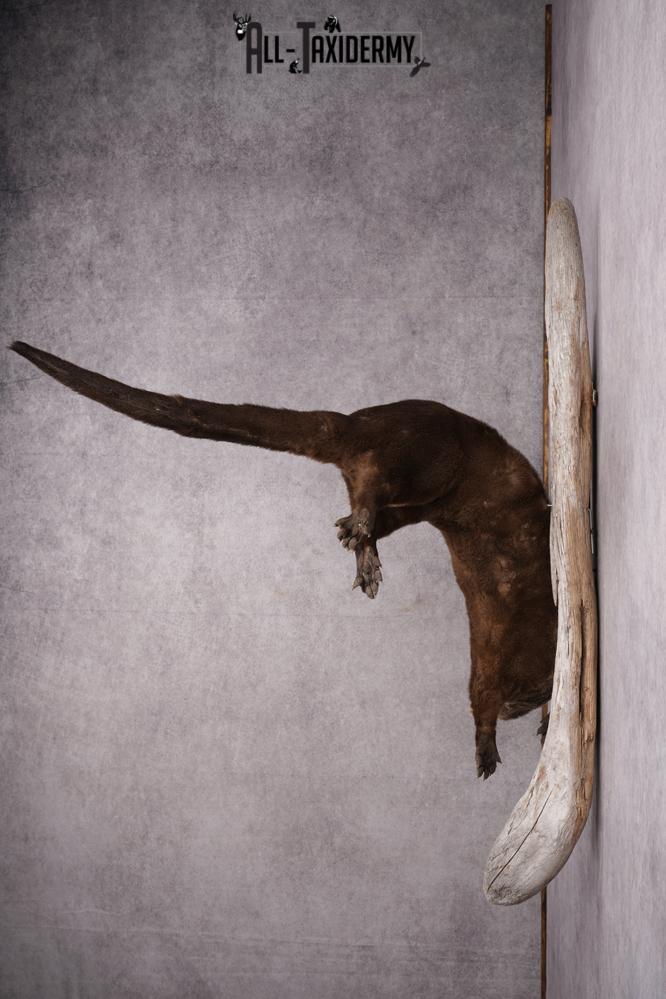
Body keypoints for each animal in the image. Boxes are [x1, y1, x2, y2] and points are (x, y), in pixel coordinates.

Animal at [10, 340, 556, 779]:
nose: (516, 706)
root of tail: (361, 419)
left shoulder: (491, 658)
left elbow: (490, 700)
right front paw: (505, 740)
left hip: (420, 498)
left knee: (362, 507)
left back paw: (361, 552)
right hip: (427, 458)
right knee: (373, 482)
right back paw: (363, 543)